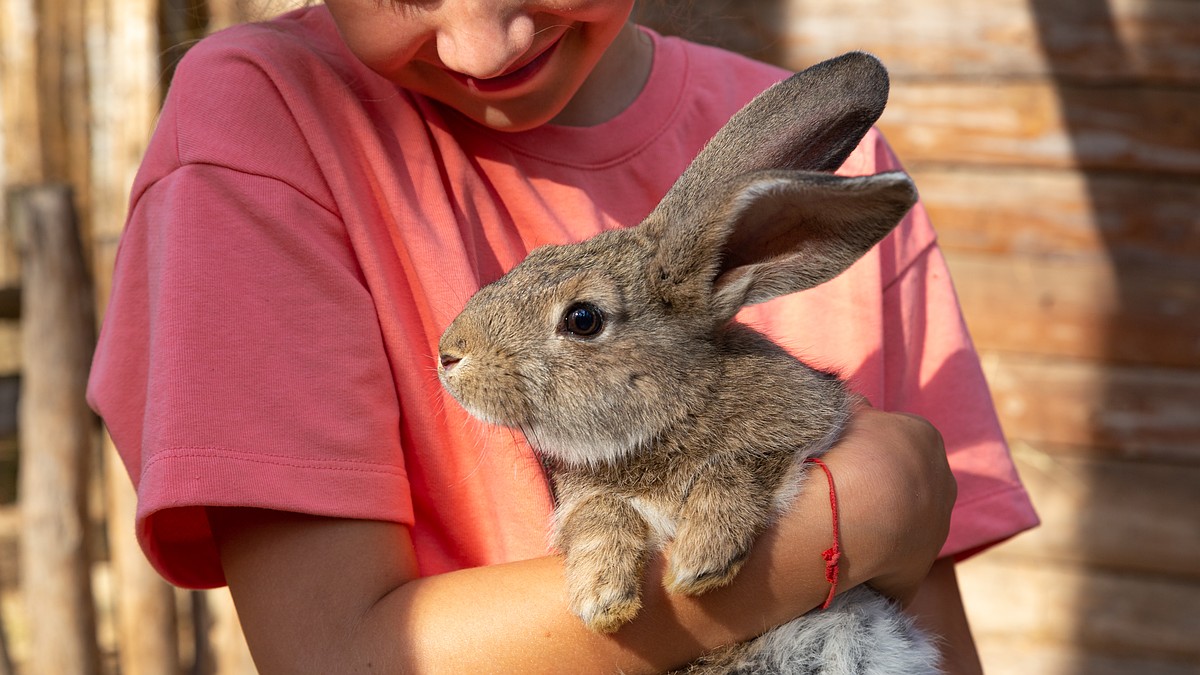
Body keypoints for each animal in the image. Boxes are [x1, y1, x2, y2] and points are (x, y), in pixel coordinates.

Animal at [436, 53, 940, 672]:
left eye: (582, 319)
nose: (449, 353)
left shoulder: (803, 429)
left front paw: (701, 559)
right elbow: (600, 513)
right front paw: (603, 597)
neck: (678, 407)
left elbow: (741, 467)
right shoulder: (585, 498)